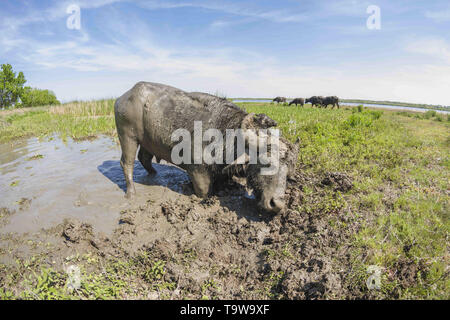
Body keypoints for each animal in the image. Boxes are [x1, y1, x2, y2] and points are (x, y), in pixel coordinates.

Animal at [115, 82, 298, 212]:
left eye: (288, 173)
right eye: (266, 163)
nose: (277, 204)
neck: (225, 133)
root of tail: (122, 98)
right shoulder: (197, 171)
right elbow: (205, 192)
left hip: (147, 140)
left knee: (144, 158)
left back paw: (154, 175)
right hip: (128, 136)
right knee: (127, 163)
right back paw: (131, 193)